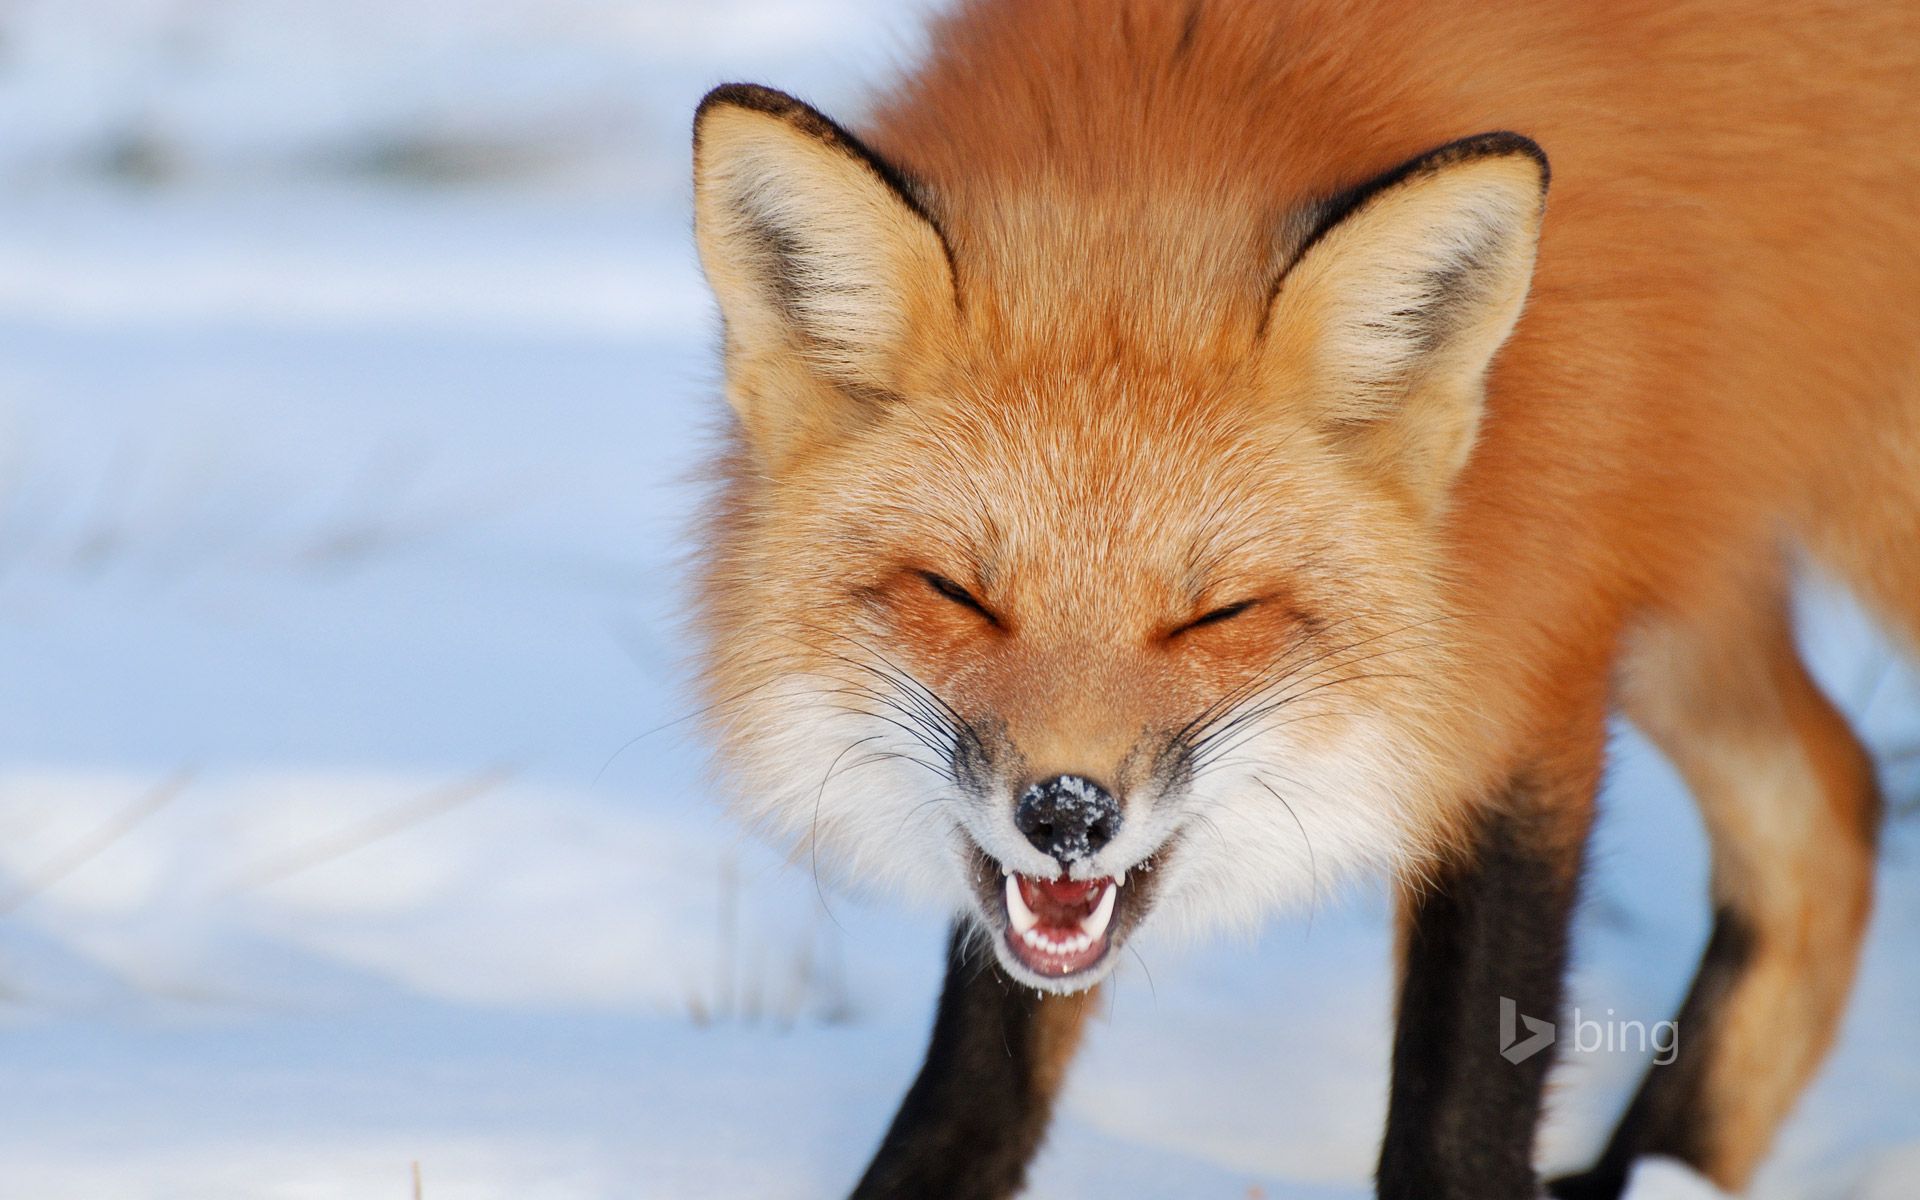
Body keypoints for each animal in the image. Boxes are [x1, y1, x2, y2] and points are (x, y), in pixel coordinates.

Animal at [687, 0, 1920, 1190]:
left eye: (1215, 614)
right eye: (958, 594)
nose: (1069, 815)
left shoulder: (1523, 661)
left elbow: (1458, 1117)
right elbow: (977, 1086)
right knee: (1830, 810)